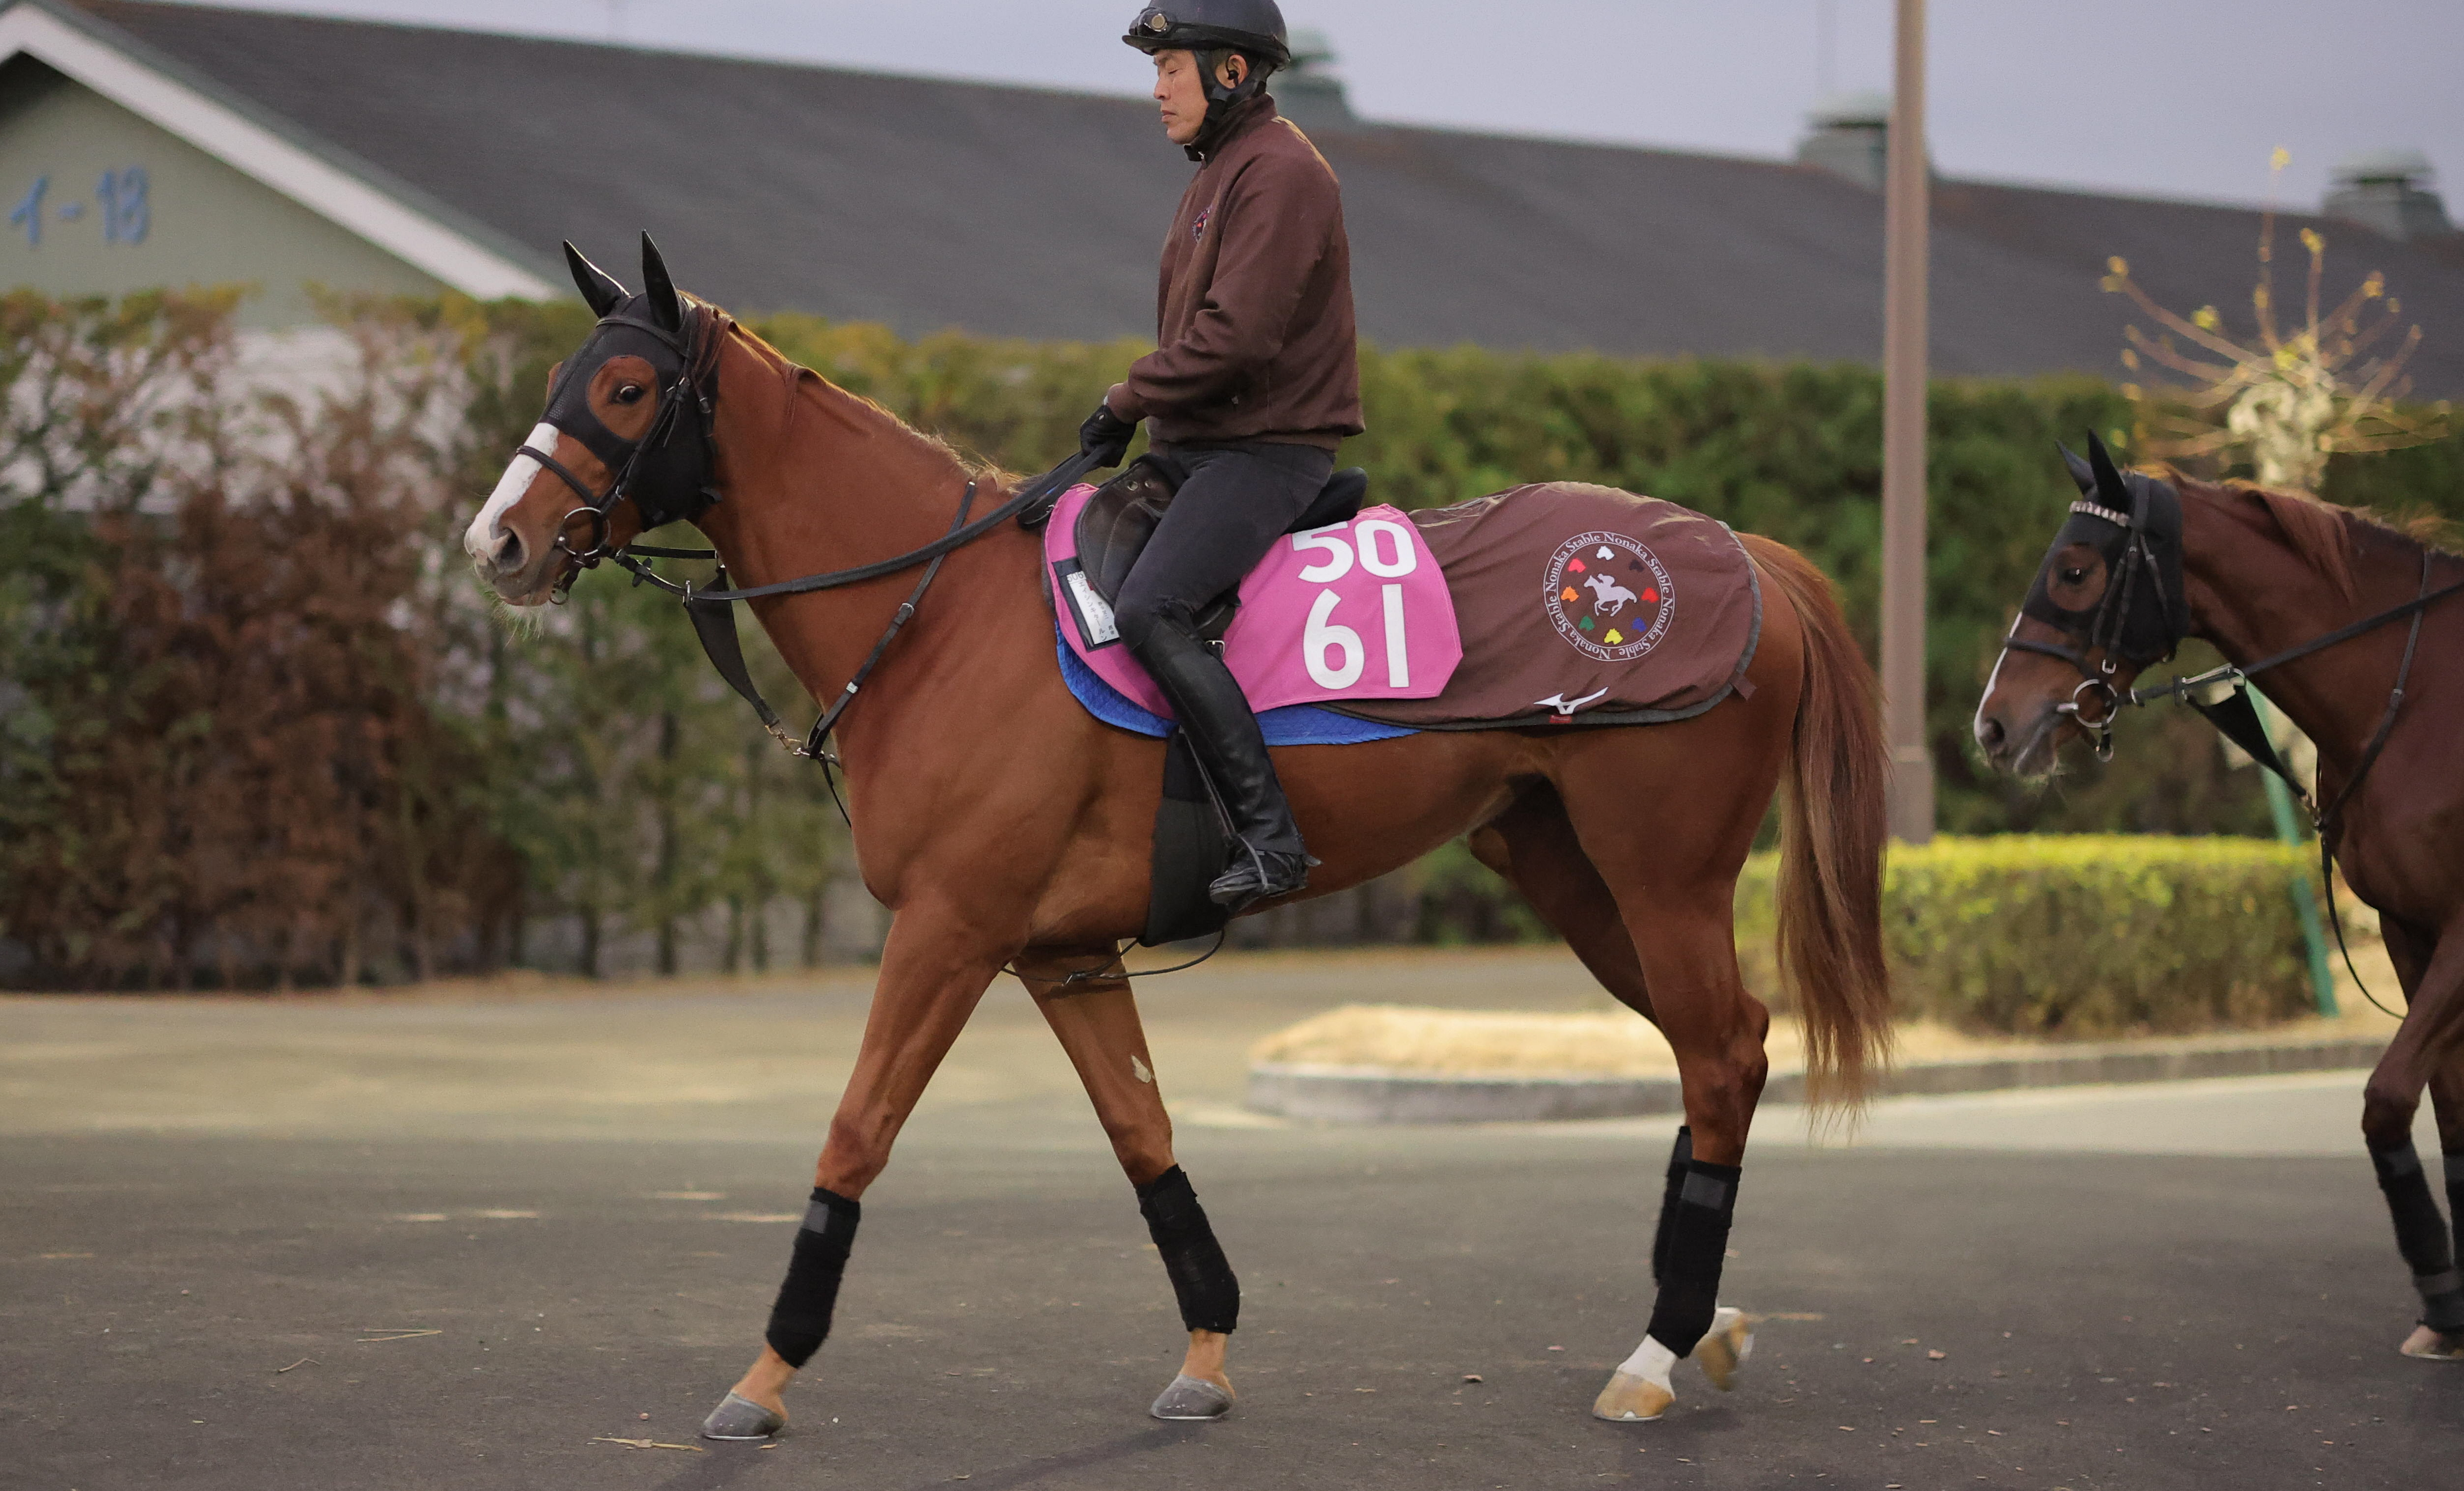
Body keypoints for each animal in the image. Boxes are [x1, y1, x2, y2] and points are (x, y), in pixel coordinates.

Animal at [463, 237, 1891, 1439]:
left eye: (631, 388)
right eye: (565, 378)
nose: (499, 542)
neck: (940, 613)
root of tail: (1742, 557)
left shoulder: (948, 931)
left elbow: (856, 1131)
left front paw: (764, 1373)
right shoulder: (1062, 955)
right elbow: (1143, 1134)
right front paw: (1206, 1353)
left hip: (1662, 874)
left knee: (1718, 1054)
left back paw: (1655, 1350)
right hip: (1569, 869)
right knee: (1726, 1052)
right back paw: (1697, 1326)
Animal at [1974, 436, 2464, 1361]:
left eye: (2075, 571)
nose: (1992, 725)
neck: (2419, 694)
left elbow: (2387, 1099)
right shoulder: (2407, 929)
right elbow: (2448, 1110)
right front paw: (2447, 1306)